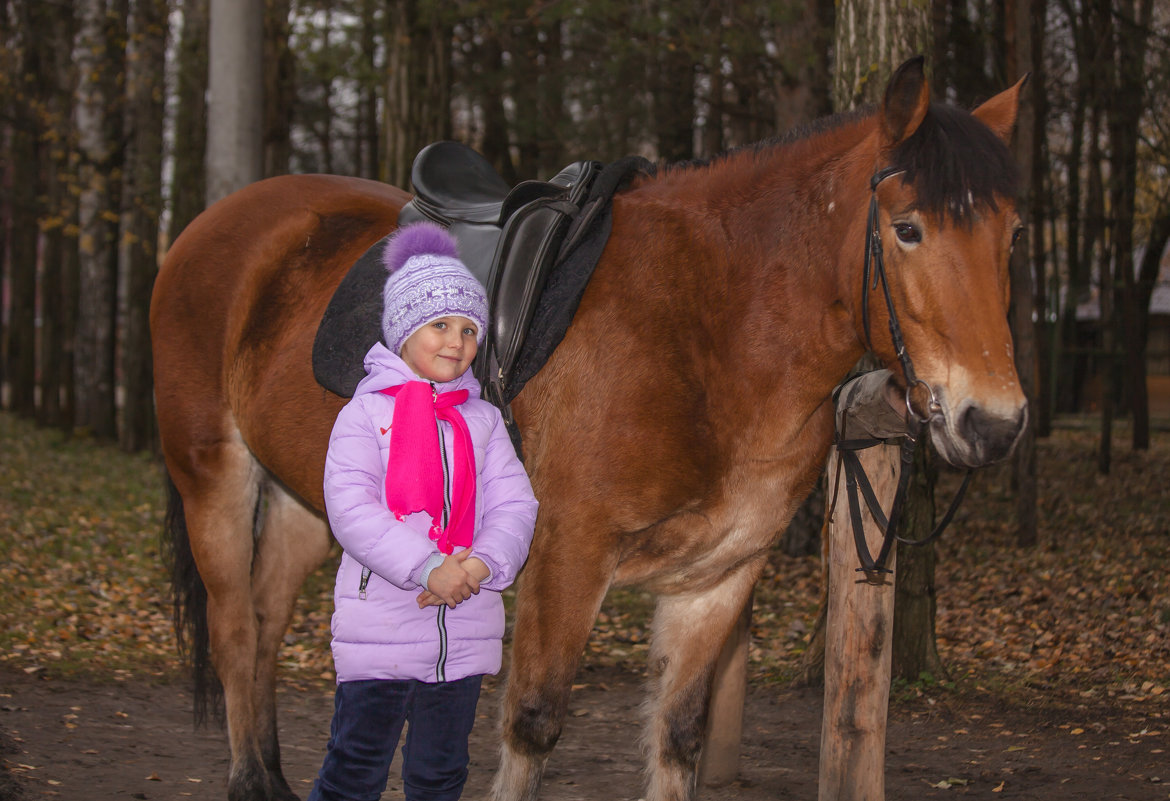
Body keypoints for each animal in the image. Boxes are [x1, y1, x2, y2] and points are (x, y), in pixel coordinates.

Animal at [153, 59, 1024, 799]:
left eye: (1012, 233)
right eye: (907, 228)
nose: (993, 424)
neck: (708, 331)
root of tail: (215, 223)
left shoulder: (718, 576)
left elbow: (679, 736)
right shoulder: (566, 557)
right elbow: (532, 726)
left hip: (308, 498)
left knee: (266, 623)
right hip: (214, 475)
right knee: (234, 629)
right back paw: (249, 778)